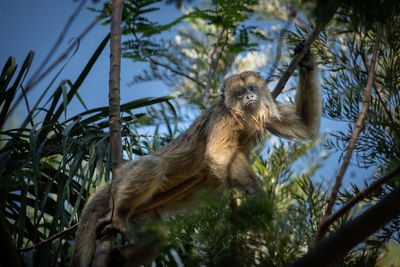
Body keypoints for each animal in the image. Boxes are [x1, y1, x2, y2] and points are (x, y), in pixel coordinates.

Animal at [71, 41, 322, 266]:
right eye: (240, 93)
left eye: (252, 89)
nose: (250, 97)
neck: (242, 116)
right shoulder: (222, 116)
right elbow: (217, 153)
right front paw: (256, 193)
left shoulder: (268, 109)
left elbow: (305, 126)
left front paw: (306, 60)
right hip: (122, 185)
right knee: (153, 166)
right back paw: (119, 216)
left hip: (143, 212)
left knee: (158, 240)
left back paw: (120, 257)